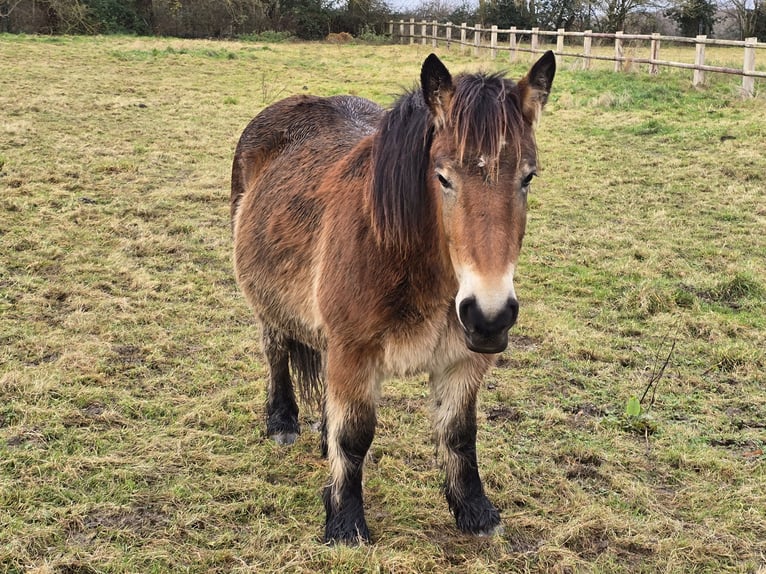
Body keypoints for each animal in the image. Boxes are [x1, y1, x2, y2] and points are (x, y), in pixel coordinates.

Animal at [231, 51, 556, 548]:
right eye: (443, 177)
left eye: (528, 177)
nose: (489, 316)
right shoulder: (354, 352)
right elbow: (355, 437)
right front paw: (345, 524)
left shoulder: (463, 360)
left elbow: (459, 435)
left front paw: (476, 512)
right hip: (266, 304)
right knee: (276, 351)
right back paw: (282, 422)